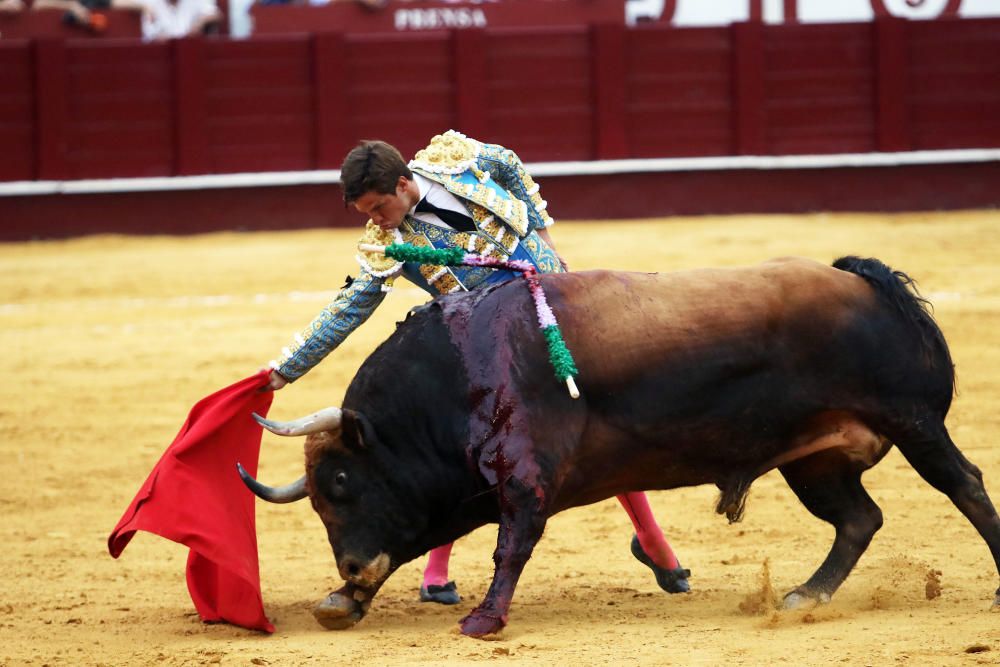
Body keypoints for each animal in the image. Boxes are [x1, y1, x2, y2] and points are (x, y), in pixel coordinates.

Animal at [236, 256, 1000, 636]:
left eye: (342, 481)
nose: (352, 567)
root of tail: (867, 281)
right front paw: (341, 601)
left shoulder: (524, 477)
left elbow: (511, 545)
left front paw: (484, 619)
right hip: (814, 458)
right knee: (859, 518)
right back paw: (803, 595)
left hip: (913, 421)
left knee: (964, 484)